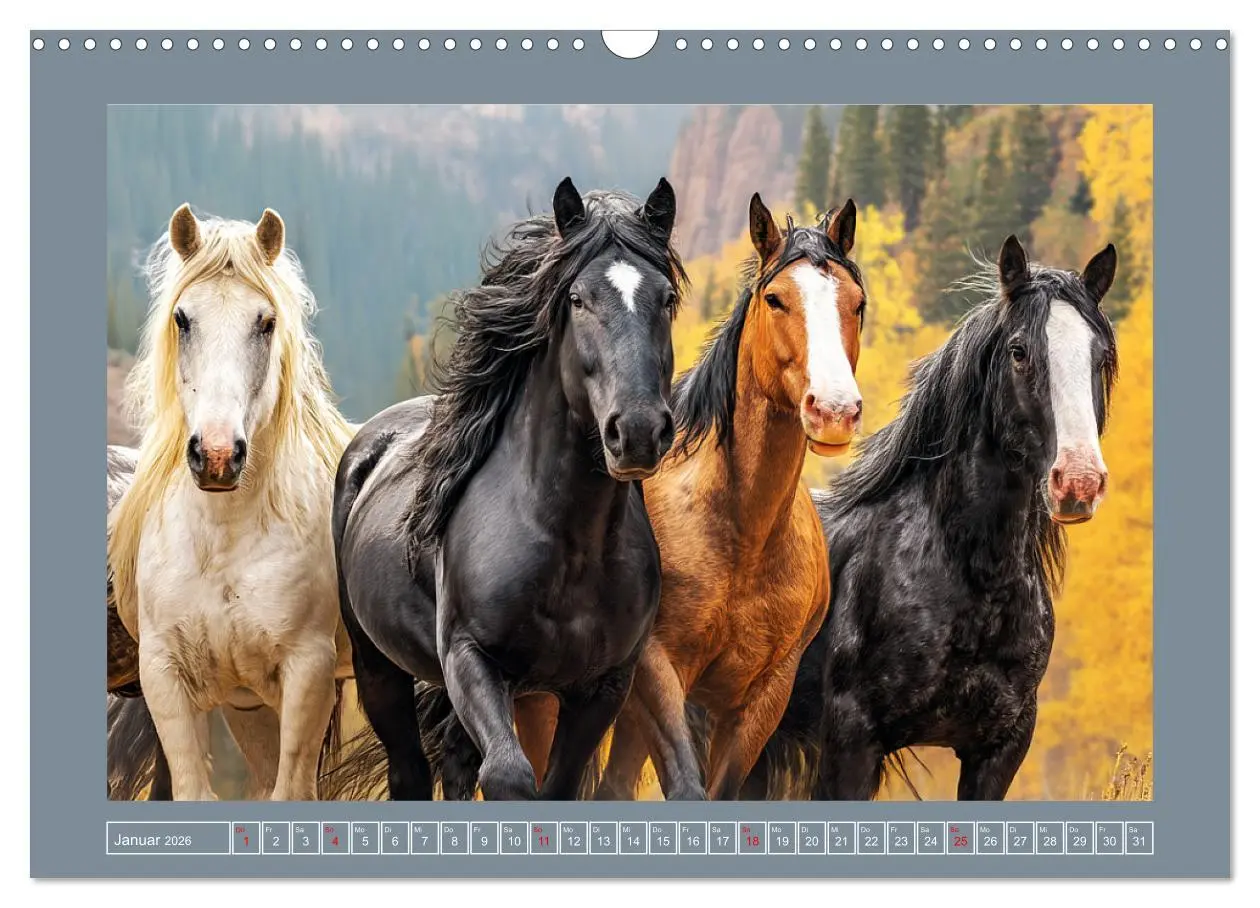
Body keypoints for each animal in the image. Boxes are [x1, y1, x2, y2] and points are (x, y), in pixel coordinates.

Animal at [106, 204, 356, 800]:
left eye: (265, 322)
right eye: (182, 319)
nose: (218, 455)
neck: (224, 540)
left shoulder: (308, 673)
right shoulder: (166, 678)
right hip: (250, 708)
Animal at [325, 177, 683, 801]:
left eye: (666, 299)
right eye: (577, 299)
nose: (638, 430)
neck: (568, 544)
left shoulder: (602, 689)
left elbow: (556, 784)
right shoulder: (471, 660)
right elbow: (509, 776)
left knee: (454, 761)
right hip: (378, 668)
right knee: (411, 770)